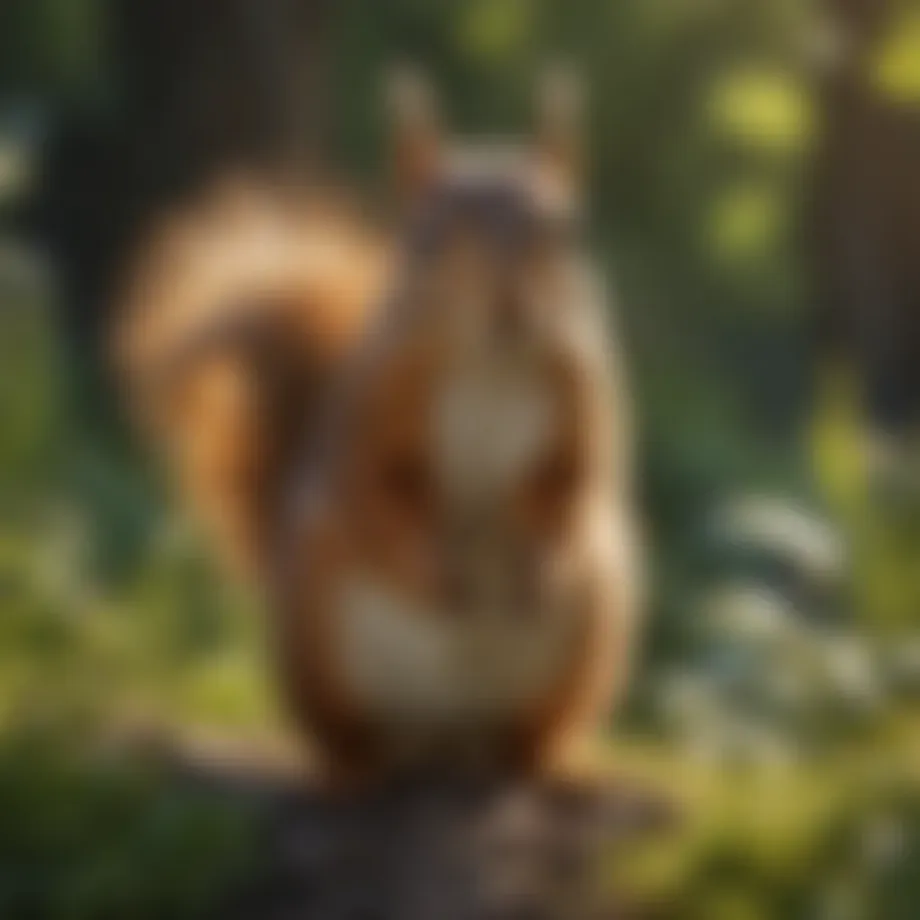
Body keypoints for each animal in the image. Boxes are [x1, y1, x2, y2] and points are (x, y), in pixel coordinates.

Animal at [114, 72, 641, 789]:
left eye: (567, 230)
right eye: (427, 233)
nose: (512, 304)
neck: (491, 360)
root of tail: (446, 741)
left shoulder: (581, 403)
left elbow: (573, 480)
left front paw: (544, 564)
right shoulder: (376, 420)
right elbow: (380, 495)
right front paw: (433, 575)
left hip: (589, 636)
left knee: (528, 741)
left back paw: (557, 767)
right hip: (323, 646)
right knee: (347, 742)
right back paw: (361, 768)